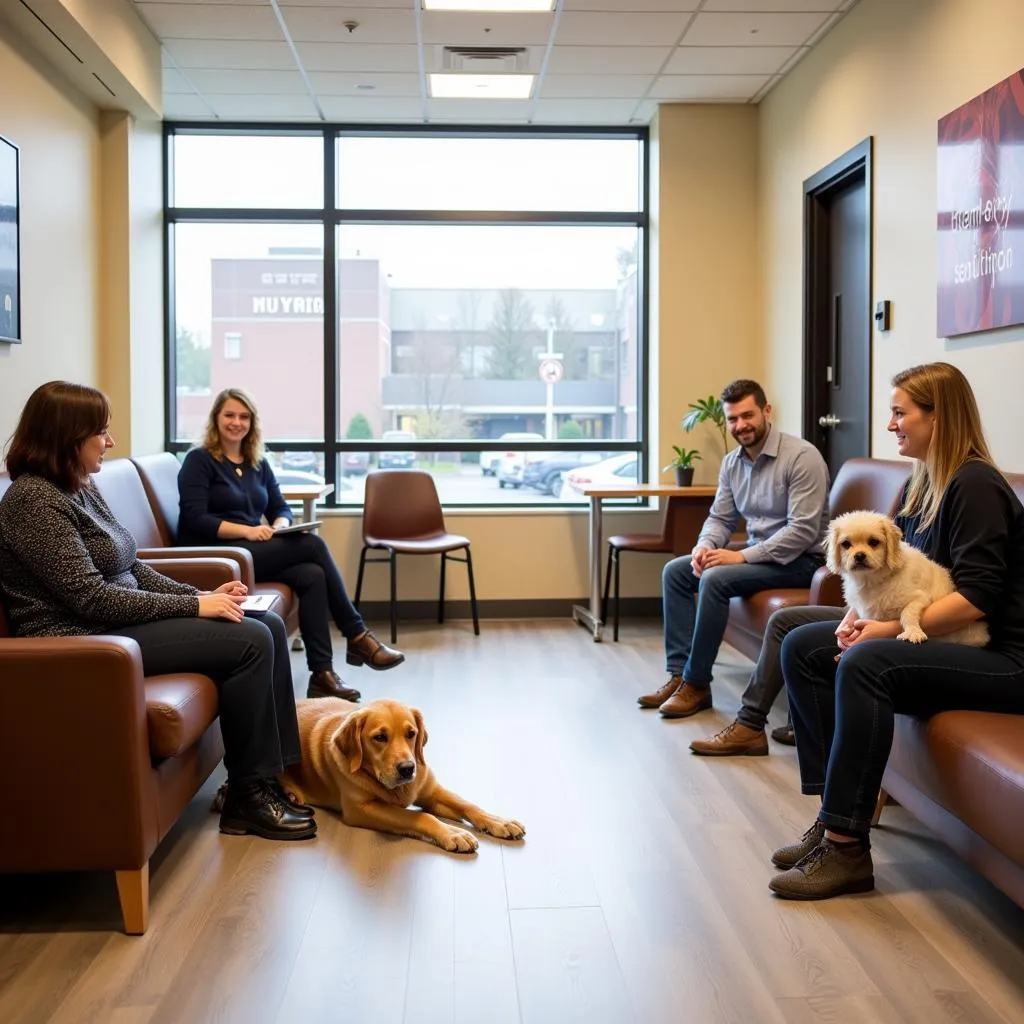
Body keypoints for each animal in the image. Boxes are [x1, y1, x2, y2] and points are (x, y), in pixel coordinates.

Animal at [827, 512, 987, 647]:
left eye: (873, 542)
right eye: (846, 544)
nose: (859, 555)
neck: (872, 580)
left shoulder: (919, 598)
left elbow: (907, 613)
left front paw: (913, 632)